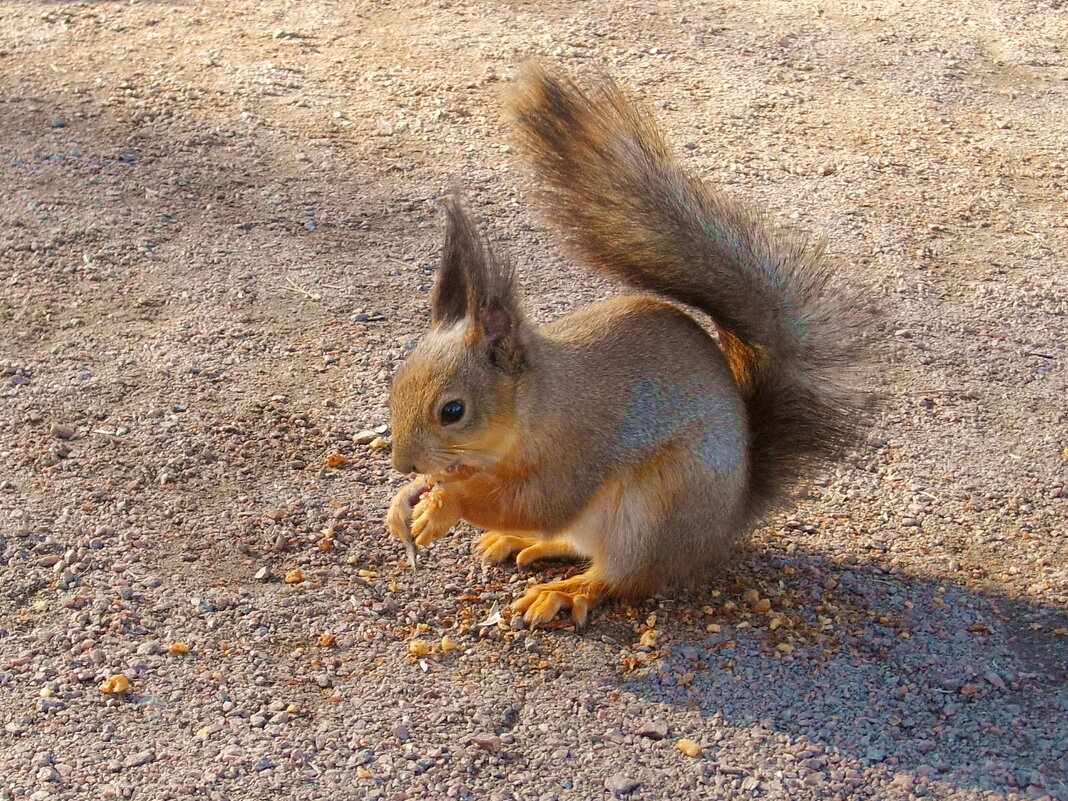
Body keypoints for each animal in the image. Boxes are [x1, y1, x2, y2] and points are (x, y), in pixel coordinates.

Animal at [384, 62, 867, 632]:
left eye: (453, 411)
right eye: (395, 386)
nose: (403, 463)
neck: (535, 407)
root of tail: (722, 527)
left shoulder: (576, 448)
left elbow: (537, 502)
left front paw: (444, 505)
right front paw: (410, 498)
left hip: (655, 509)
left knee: (620, 575)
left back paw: (565, 589)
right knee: (577, 545)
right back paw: (523, 543)